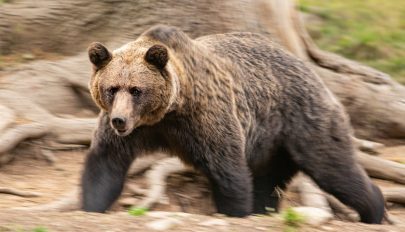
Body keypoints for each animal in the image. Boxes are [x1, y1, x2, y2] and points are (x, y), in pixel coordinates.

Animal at [80, 24, 384, 223]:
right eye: (111, 88)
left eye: (136, 89)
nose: (120, 119)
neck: (168, 111)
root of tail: (306, 65)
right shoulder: (134, 131)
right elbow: (105, 164)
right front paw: (91, 204)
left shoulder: (205, 118)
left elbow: (228, 171)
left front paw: (235, 210)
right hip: (272, 145)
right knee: (268, 181)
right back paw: (264, 210)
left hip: (300, 119)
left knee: (333, 166)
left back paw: (374, 208)